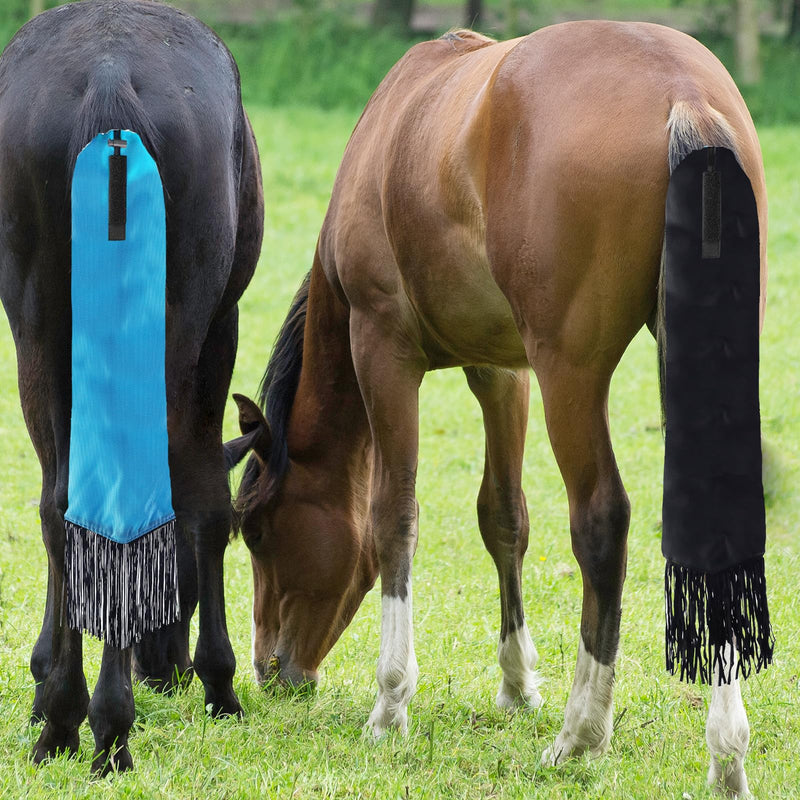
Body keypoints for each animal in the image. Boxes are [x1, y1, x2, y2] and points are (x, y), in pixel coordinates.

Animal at [0, 0, 263, 773]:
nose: (161, 669)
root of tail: (110, 79)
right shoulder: (221, 327)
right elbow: (205, 502)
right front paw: (219, 682)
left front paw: (45, 687)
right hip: (179, 324)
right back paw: (111, 727)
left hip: (38, 328)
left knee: (62, 504)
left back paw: (65, 719)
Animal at [227, 22, 767, 795]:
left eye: (258, 532)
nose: (271, 670)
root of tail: (684, 94)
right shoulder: (501, 371)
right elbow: (503, 517)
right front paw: (516, 684)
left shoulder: (383, 350)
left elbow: (393, 518)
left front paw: (391, 704)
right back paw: (726, 754)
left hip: (570, 376)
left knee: (601, 523)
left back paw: (582, 733)